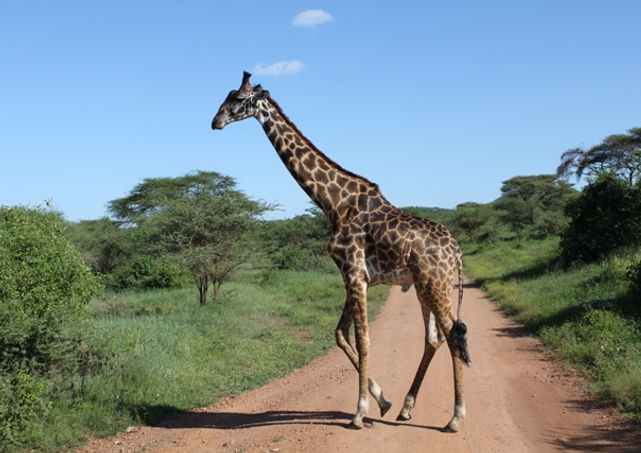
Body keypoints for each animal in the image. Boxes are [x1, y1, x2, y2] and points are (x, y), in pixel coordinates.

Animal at [212, 72, 470, 431]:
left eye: (237, 99)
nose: (215, 121)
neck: (334, 203)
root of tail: (456, 251)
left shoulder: (354, 273)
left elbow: (362, 339)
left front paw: (360, 412)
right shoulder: (354, 276)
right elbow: (340, 333)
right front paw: (383, 401)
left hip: (436, 283)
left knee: (454, 336)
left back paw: (455, 418)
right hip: (424, 286)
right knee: (434, 338)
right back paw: (406, 408)